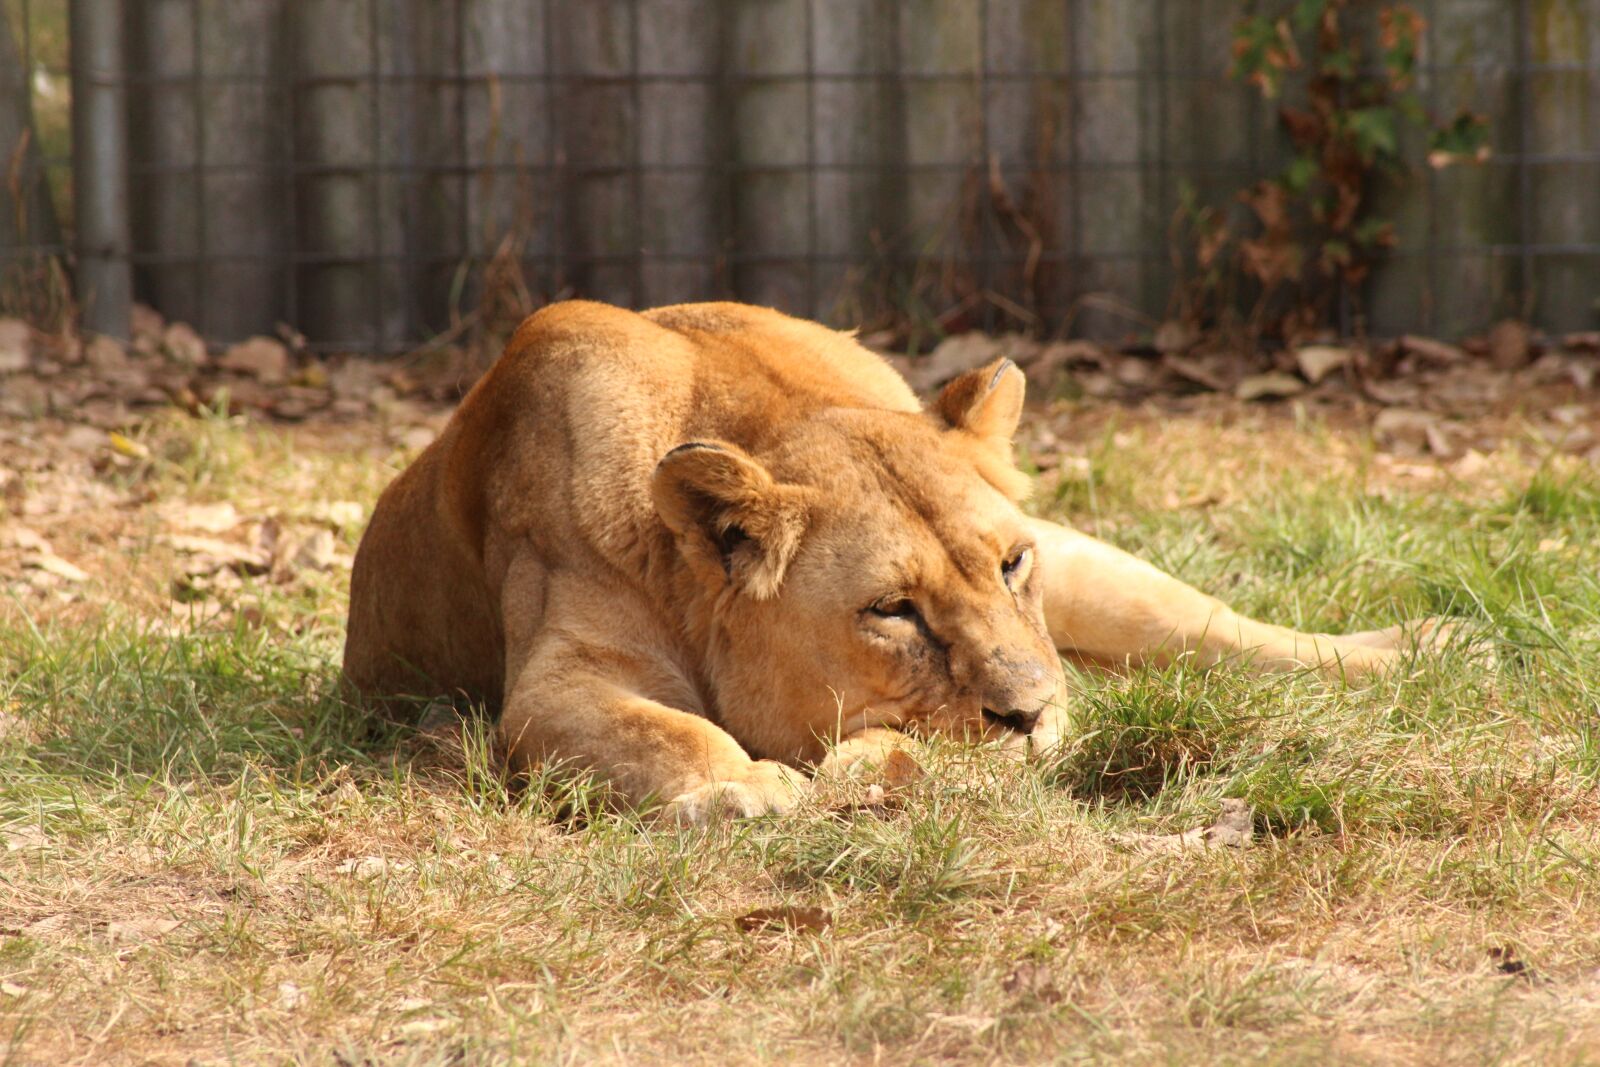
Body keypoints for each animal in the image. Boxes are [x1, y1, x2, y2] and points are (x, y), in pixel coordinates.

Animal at [344, 301, 1444, 823]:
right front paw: (743, 789)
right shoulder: (557, 675)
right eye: (893, 610)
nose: (1031, 711)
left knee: (1220, 629)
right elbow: (660, 728)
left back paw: (1421, 644)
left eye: (1010, 564)